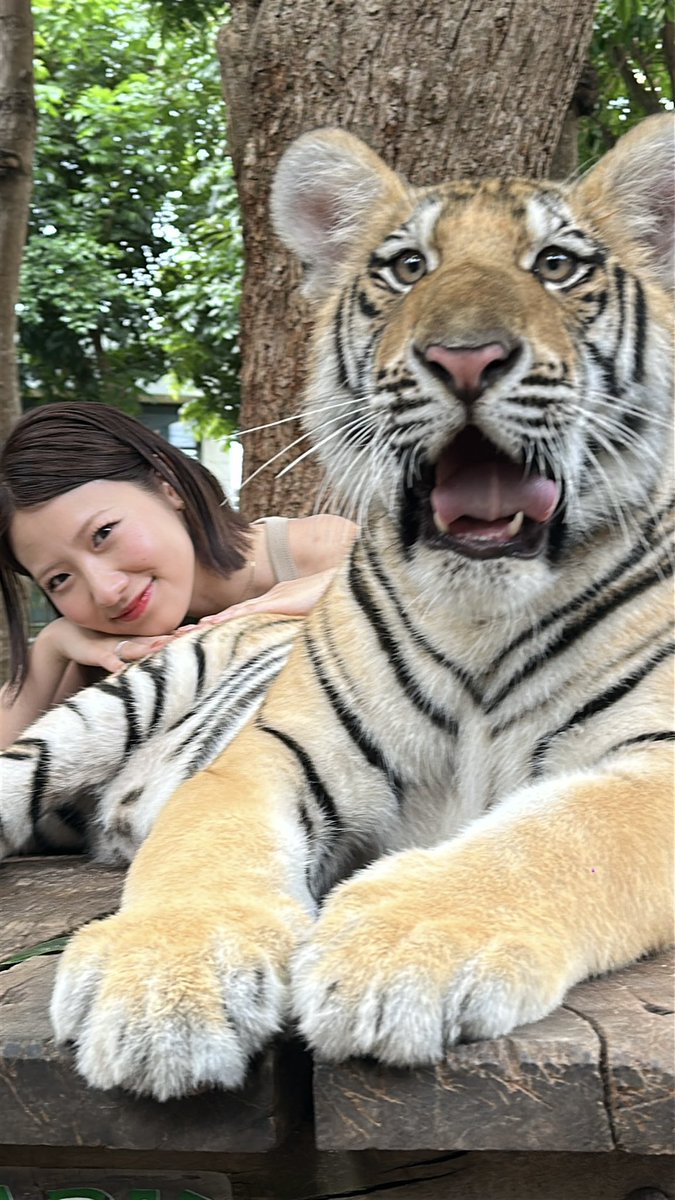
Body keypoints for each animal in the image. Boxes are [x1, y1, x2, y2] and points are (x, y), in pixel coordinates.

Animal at [0, 113, 672, 1103]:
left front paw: (403, 949)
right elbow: (205, 845)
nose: (464, 356)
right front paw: (163, 986)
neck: (479, 613)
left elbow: (559, 835)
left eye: (555, 264)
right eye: (405, 267)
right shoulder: (274, 750)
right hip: (107, 709)